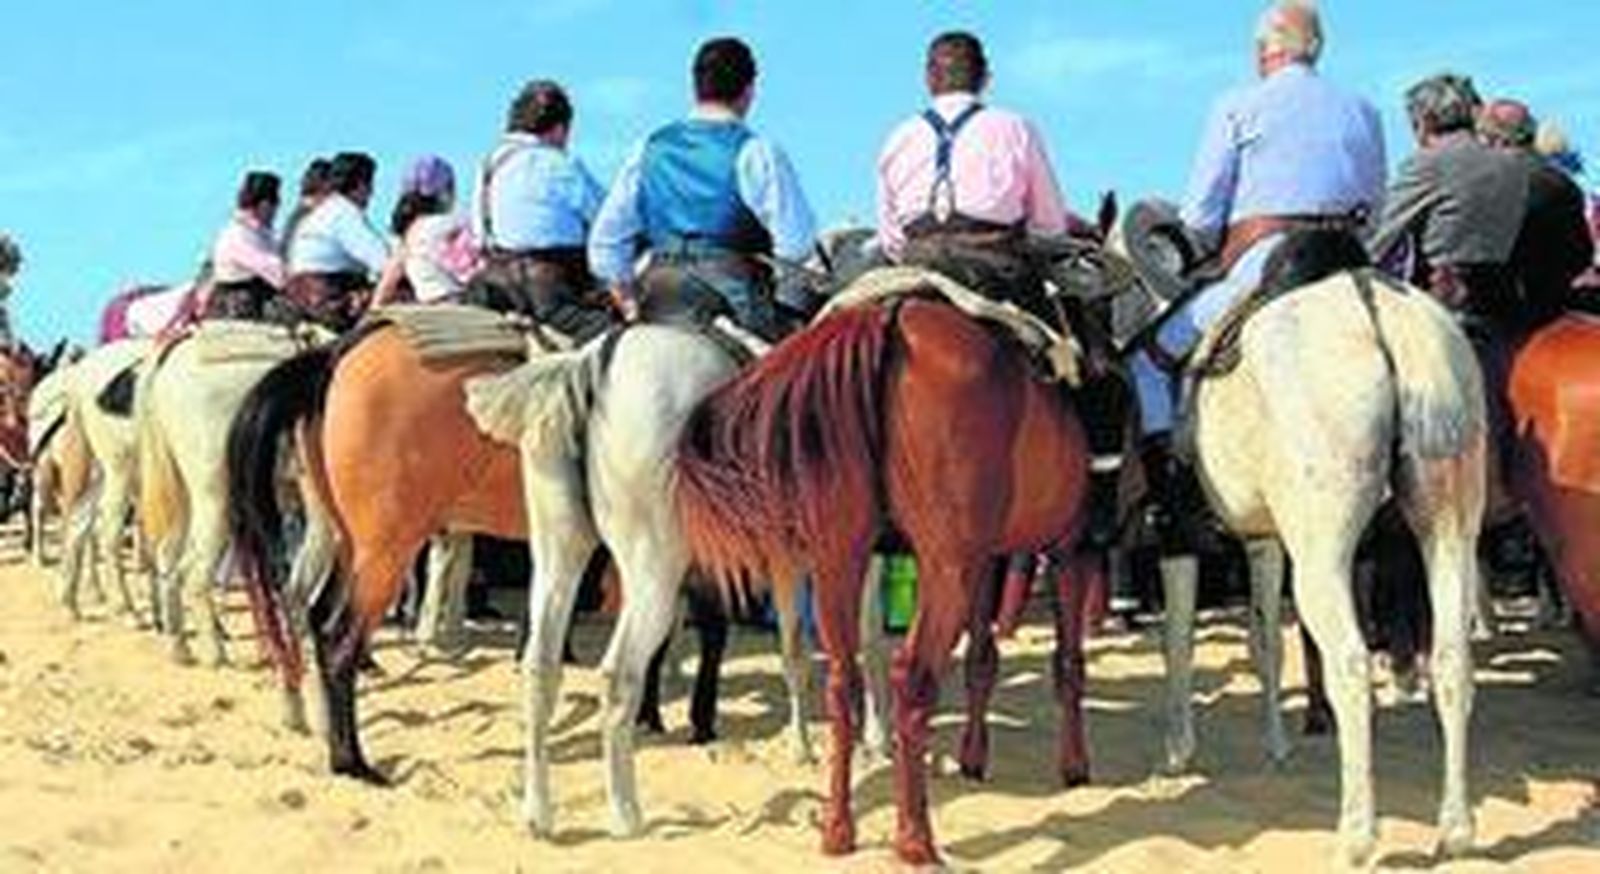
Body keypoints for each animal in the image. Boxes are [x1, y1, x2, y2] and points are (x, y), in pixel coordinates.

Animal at [674, 295, 1092, 866]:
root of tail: (888, 319)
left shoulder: (985, 560)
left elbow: (982, 661)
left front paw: (973, 757)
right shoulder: (1071, 547)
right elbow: (1068, 663)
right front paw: (1074, 765)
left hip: (841, 558)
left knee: (841, 680)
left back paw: (837, 829)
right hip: (943, 567)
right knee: (911, 677)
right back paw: (914, 838)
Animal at [1092, 230, 1486, 865]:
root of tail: (1376, 310)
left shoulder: (1178, 535)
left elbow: (1178, 640)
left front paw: (1177, 751)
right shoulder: (1265, 540)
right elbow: (1265, 642)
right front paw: (1276, 745)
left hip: (1323, 556)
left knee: (1351, 663)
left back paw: (1356, 837)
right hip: (1450, 522)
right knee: (1452, 656)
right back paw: (1456, 829)